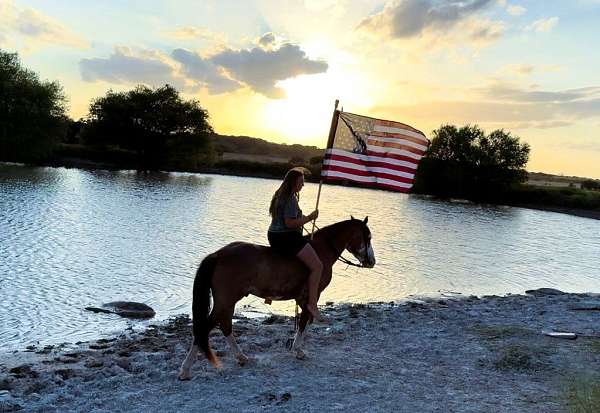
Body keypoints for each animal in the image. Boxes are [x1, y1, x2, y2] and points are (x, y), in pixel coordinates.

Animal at [177, 216, 376, 380]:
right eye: (368, 237)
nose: (372, 261)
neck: (321, 251)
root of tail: (218, 254)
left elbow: (304, 322)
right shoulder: (311, 298)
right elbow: (304, 323)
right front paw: (298, 350)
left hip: (227, 302)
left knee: (224, 325)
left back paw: (241, 357)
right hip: (226, 301)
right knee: (205, 329)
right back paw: (185, 370)